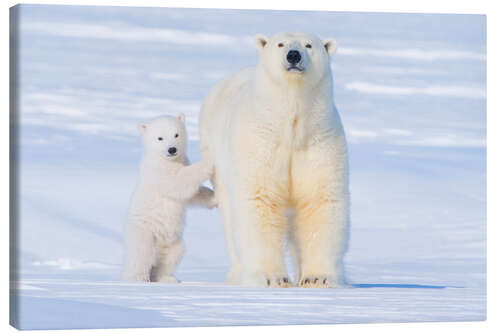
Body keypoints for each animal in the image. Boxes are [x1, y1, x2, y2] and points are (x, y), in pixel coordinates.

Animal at [122, 115, 216, 282]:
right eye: (160, 138)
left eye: (176, 134)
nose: (172, 149)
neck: (165, 159)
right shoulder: (159, 172)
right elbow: (179, 182)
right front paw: (209, 161)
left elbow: (191, 195)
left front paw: (214, 198)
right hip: (143, 231)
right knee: (141, 253)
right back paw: (137, 278)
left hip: (173, 241)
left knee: (172, 255)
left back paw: (166, 278)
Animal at [198, 32, 348, 286]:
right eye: (281, 44)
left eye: (309, 45)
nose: (293, 55)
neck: (290, 127)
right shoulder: (260, 141)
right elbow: (260, 199)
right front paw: (272, 278)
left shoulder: (319, 141)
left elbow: (319, 200)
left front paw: (317, 278)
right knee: (230, 218)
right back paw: (238, 274)